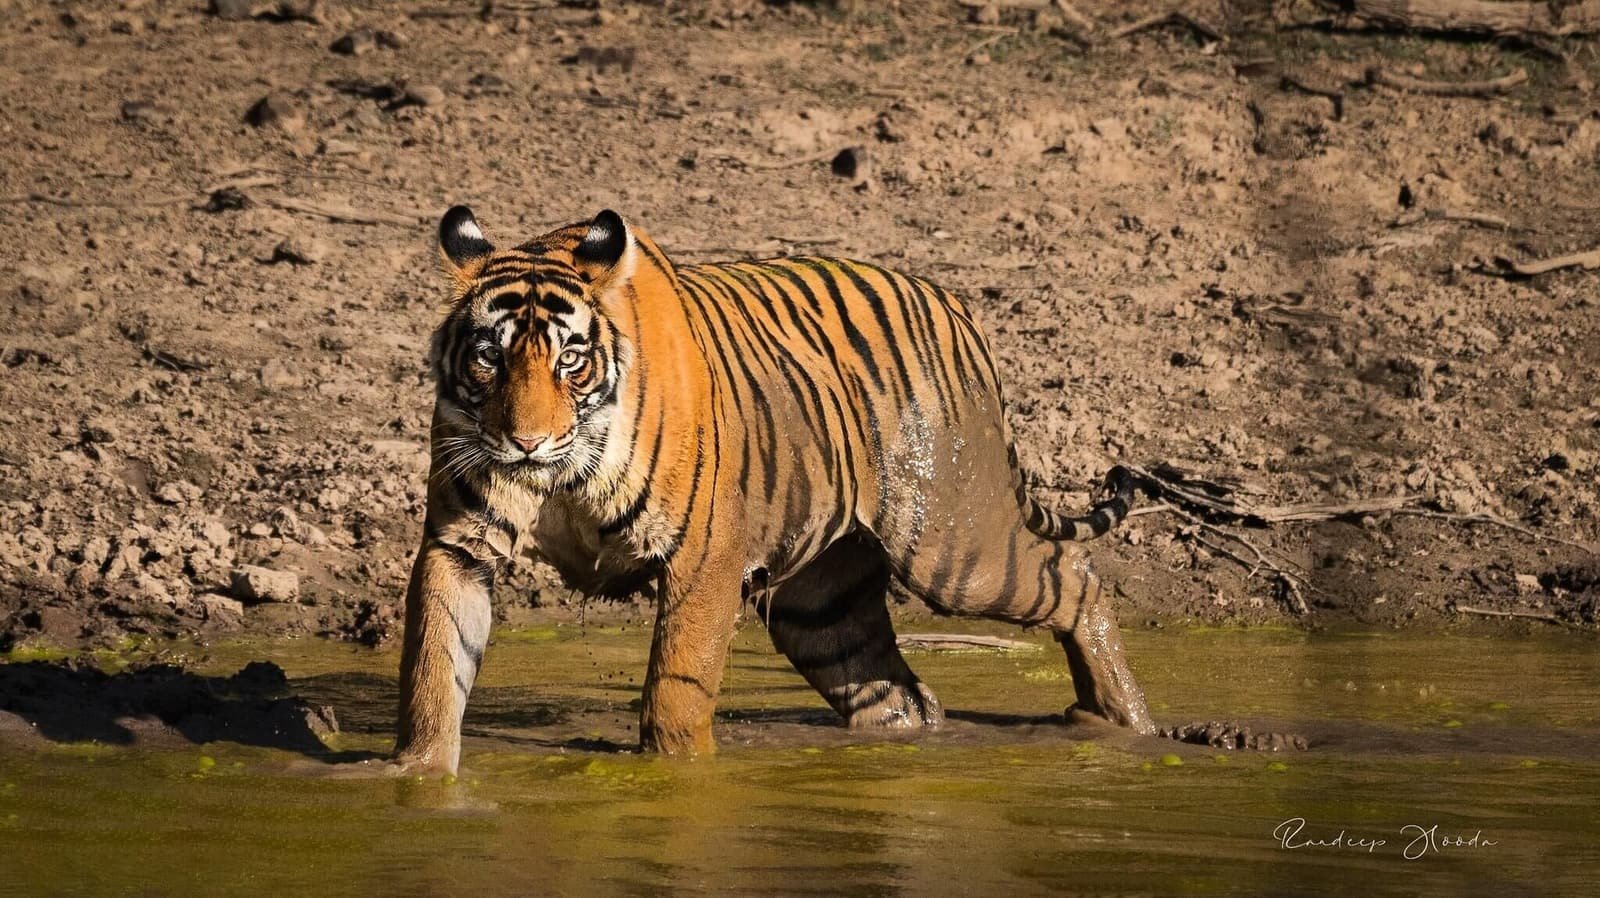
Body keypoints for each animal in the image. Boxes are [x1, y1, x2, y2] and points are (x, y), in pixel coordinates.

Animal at [393, 206, 1155, 775]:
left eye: (570, 360)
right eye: (489, 357)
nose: (525, 441)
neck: (562, 474)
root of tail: (955, 303)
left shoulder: (703, 556)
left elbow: (677, 689)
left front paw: (676, 777)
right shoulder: (459, 545)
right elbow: (434, 668)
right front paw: (416, 777)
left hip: (954, 543)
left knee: (1076, 579)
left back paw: (1118, 722)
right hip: (820, 601)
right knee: (897, 694)